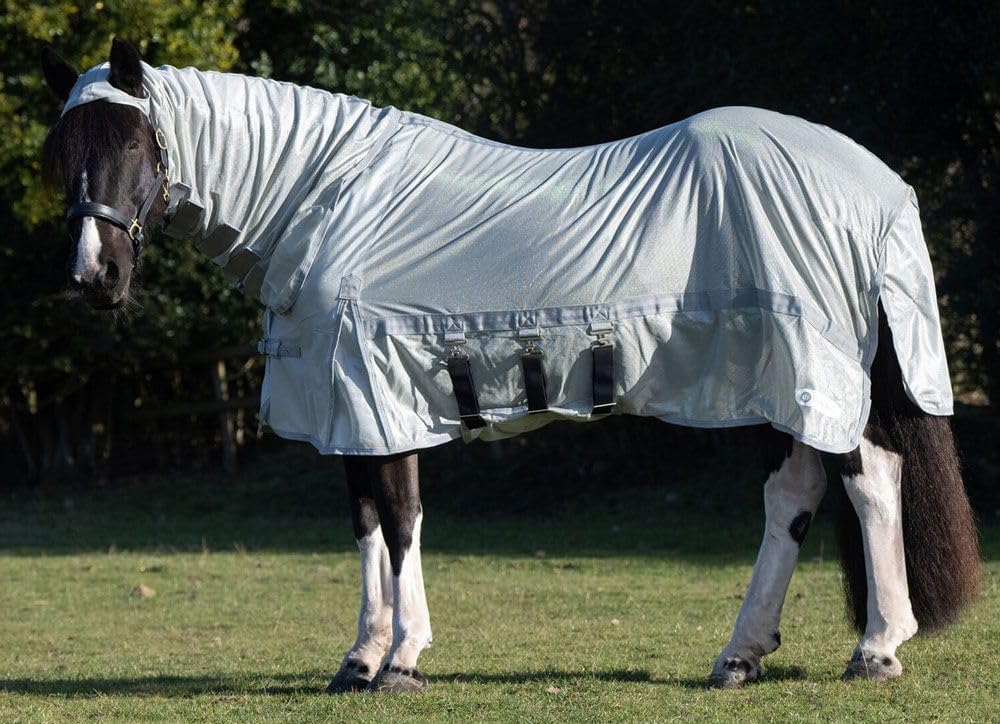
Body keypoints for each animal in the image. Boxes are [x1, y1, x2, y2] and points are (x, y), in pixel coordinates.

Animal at [40, 38, 980, 692]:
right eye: (62, 155)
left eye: (136, 145)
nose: (93, 278)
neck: (328, 199)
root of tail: (874, 180)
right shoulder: (350, 407)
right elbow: (368, 525)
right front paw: (359, 660)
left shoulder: (383, 395)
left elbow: (402, 520)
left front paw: (404, 660)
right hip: (766, 385)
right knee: (793, 495)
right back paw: (740, 657)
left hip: (810, 371)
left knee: (870, 479)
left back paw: (876, 648)